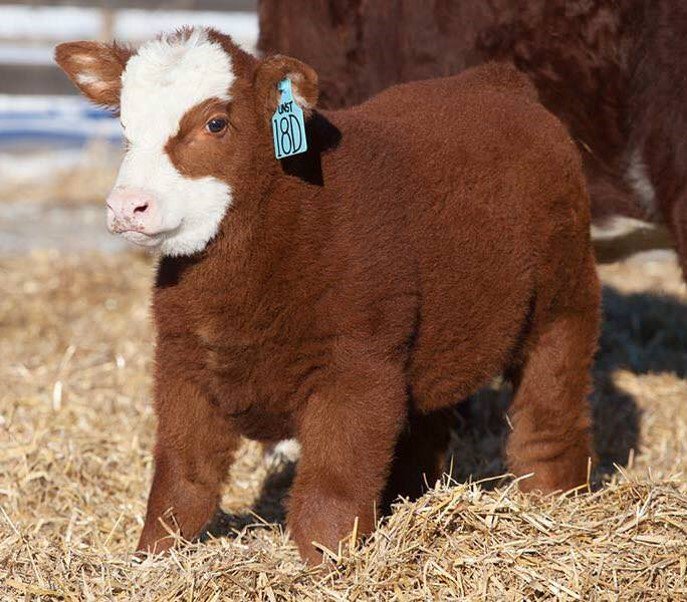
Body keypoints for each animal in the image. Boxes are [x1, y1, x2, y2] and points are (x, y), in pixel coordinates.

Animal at [55, 27, 600, 564]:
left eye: (215, 123)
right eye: (125, 125)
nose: (128, 206)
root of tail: (498, 81)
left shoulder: (357, 369)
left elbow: (330, 490)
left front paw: (324, 565)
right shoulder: (182, 363)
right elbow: (180, 479)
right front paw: (151, 559)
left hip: (565, 299)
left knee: (549, 412)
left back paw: (555, 502)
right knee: (423, 432)